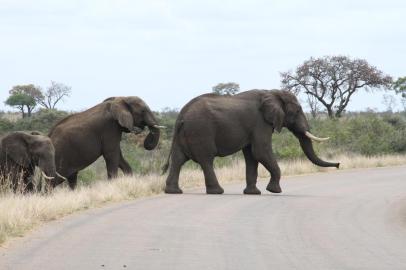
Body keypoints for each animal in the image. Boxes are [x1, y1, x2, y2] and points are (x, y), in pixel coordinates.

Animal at [163, 89, 340, 195]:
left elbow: (252, 156)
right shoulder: (260, 123)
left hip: (184, 134)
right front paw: (274, 191)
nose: (338, 165)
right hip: (201, 131)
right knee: (206, 160)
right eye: (297, 111)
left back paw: (173, 191)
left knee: (178, 160)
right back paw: (217, 191)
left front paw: (253, 193)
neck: (273, 93)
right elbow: (261, 151)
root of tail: (182, 115)